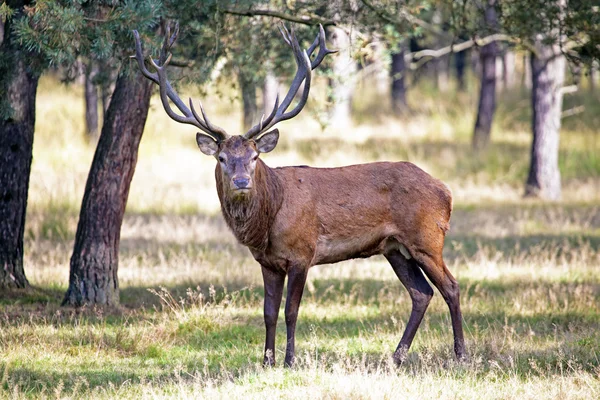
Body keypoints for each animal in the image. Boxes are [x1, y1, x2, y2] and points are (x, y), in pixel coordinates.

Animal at [134, 23, 466, 368]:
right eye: (222, 158)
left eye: (254, 156)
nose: (241, 181)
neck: (268, 222)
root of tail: (446, 191)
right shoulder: (267, 262)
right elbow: (268, 312)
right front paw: (266, 361)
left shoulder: (302, 254)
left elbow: (290, 311)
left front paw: (290, 360)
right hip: (395, 248)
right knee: (421, 293)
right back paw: (395, 358)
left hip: (426, 238)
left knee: (451, 287)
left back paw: (460, 355)